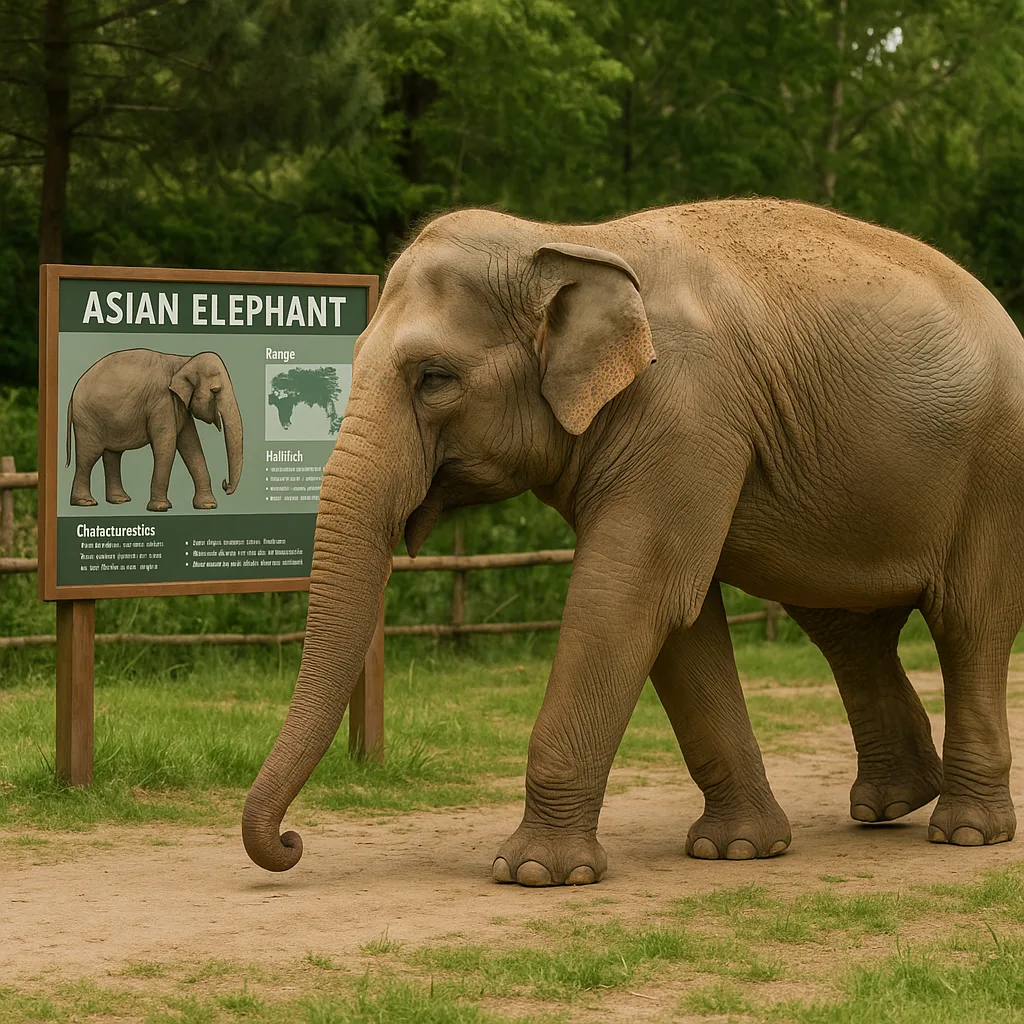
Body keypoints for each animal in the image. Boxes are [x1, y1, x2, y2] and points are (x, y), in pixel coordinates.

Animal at [66, 349, 243, 512]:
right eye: (215, 390)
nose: (225, 484)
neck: (183, 361)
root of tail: (72, 394)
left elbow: (191, 446)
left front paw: (208, 506)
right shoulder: (161, 400)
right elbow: (166, 446)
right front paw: (160, 508)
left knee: (112, 454)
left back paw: (120, 500)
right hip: (87, 420)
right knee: (89, 456)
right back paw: (86, 502)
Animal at [242, 198, 1024, 886]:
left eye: (435, 379)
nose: (292, 842)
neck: (568, 240)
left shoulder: (684, 408)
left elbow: (627, 597)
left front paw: (533, 873)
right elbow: (679, 620)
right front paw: (736, 850)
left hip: (994, 471)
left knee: (968, 622)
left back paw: (964, 831)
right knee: (843, 625)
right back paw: (890, 803)